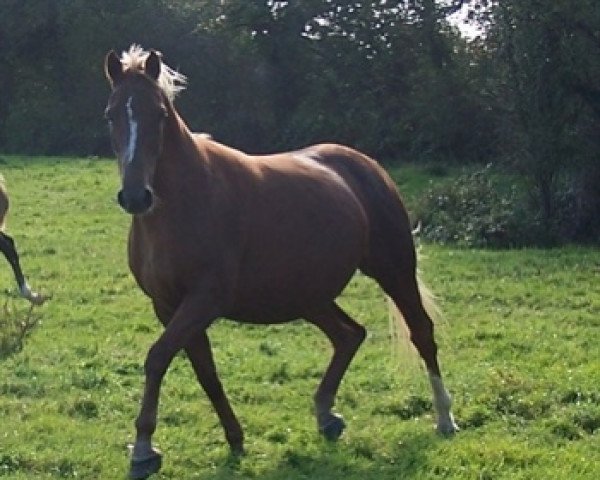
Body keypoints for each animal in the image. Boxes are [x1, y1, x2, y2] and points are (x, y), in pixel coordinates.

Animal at [104, 46, 460, 480]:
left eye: (158, 114)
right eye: (111, 115)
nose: (135, 196)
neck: (182, 203)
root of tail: (364, 165)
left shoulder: (203, 300)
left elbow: (157, 358)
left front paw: (143, 449)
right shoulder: (169, 306)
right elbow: (205, 372)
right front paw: (235, 439)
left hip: (393, 270)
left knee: (420, 332)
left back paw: (444, 418)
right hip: (307, 295)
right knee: (349, 335)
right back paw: (326, 416)